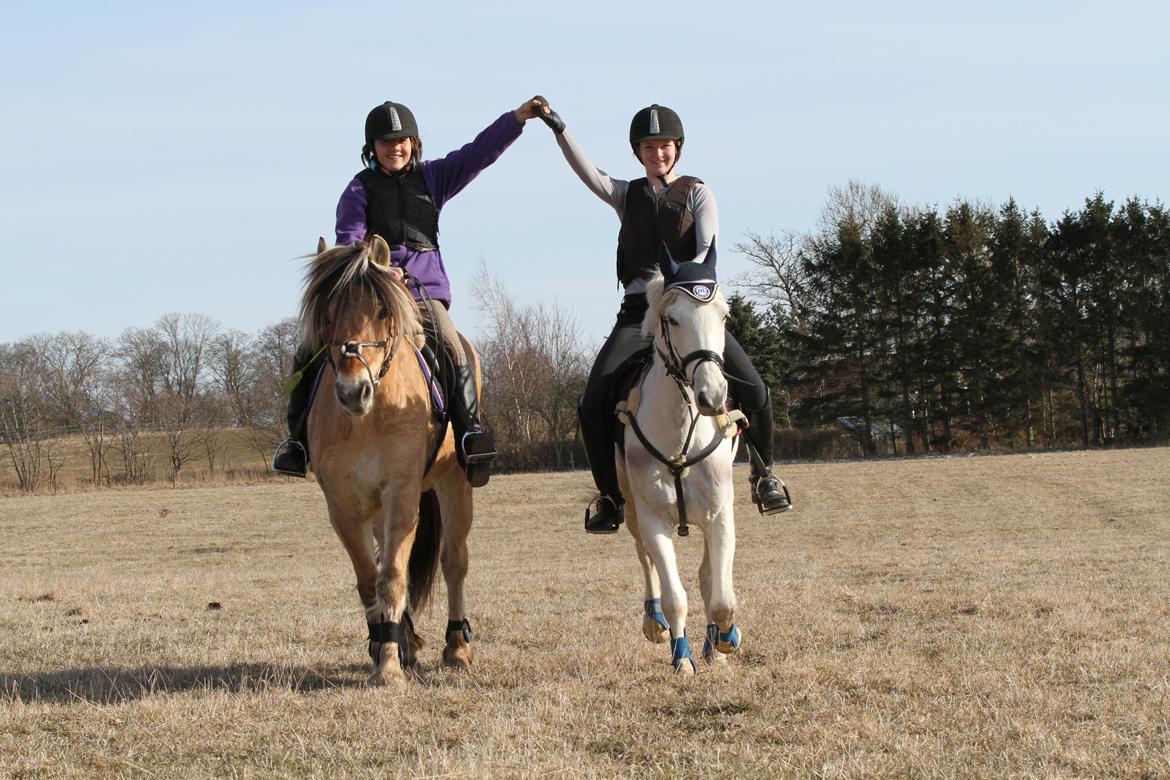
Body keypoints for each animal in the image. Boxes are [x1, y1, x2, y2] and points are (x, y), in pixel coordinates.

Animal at [304, 235, 482, 687]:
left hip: (454, 483)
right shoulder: (344, 504)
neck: (370, 416)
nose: (354, 391)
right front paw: (386, 647)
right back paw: (409, 641)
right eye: (325, 315)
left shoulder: (402, 494)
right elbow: (370, 581)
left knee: (454, 562)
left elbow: (393, 579)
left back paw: (457, 646)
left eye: (382, 310)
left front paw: (387, 668)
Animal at [617, 242, 744, 673]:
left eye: (724, 315)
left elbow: (719, 594)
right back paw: (653, 623)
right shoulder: (653, 517)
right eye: (672, 319)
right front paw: (682, 659)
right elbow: (675, 596)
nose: (712, 395)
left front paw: (724, 641)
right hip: (631, 510)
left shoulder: (720, 513)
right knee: (645, 561)